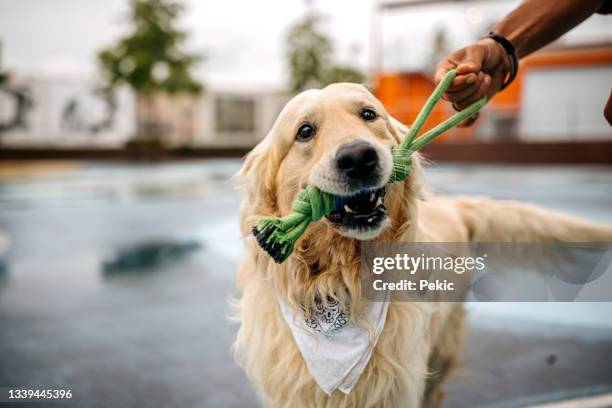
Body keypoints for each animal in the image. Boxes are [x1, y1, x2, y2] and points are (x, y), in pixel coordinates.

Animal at [231, 83, 612, 408]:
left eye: (368, 114)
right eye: (305, 131)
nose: (358, 157)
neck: (338, 284)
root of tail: (454, 205)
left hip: (440, 353)